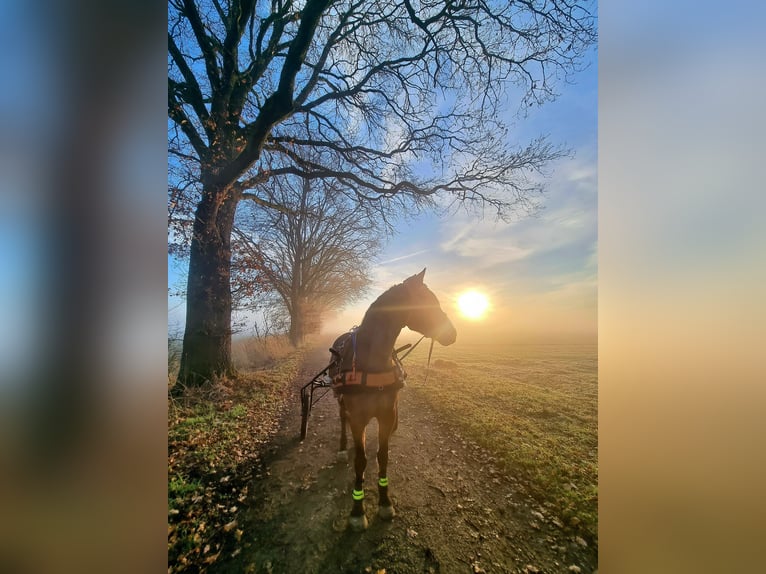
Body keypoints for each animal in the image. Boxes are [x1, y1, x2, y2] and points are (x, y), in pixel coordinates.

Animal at [328, 268, 457, 530]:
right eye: (427, 302)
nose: (453, 333)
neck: (372, 360)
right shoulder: (359, 419)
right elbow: (361, 460)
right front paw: (357, 510)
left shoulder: (387, 415)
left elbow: (382, 456)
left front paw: (385, 501)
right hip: (342, 402)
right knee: (343, 420)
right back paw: (343, 447)